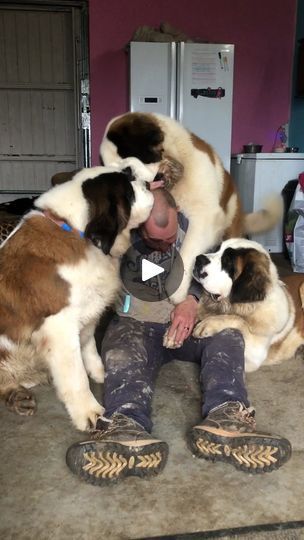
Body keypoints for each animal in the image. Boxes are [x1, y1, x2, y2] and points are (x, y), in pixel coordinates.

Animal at [0, 156, 153, 430]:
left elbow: (89, 345)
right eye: (129, 190)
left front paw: (99, 372)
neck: (77, 231)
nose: (147, 184)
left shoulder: (88, 309)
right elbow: (76, 374)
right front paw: (89, 412)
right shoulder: (59, 326)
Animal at [192, 238, 304, 374]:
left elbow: (240, 321)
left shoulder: (254, 356)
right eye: (216, 249)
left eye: (227, 261)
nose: (198, 259)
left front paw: (208, 324)